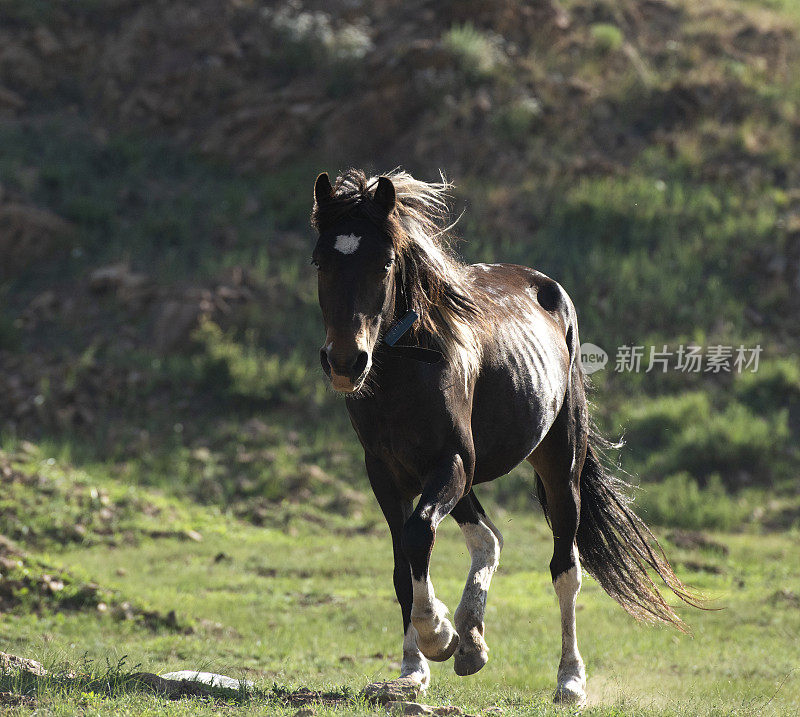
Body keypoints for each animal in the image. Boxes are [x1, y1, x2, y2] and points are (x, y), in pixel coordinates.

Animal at [310, 168, 696, 704]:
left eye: (384, 262)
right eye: (319, 260)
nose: (347, 363)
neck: (410, 365)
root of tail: (547, 287)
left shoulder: (450, 462)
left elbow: (417, 536)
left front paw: (437, 635)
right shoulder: (385, 472)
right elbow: (401, 563)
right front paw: (412, 670)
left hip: (558, 466)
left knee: (565, 569)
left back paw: (569, 679)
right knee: (487, 541)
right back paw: (471, 642)